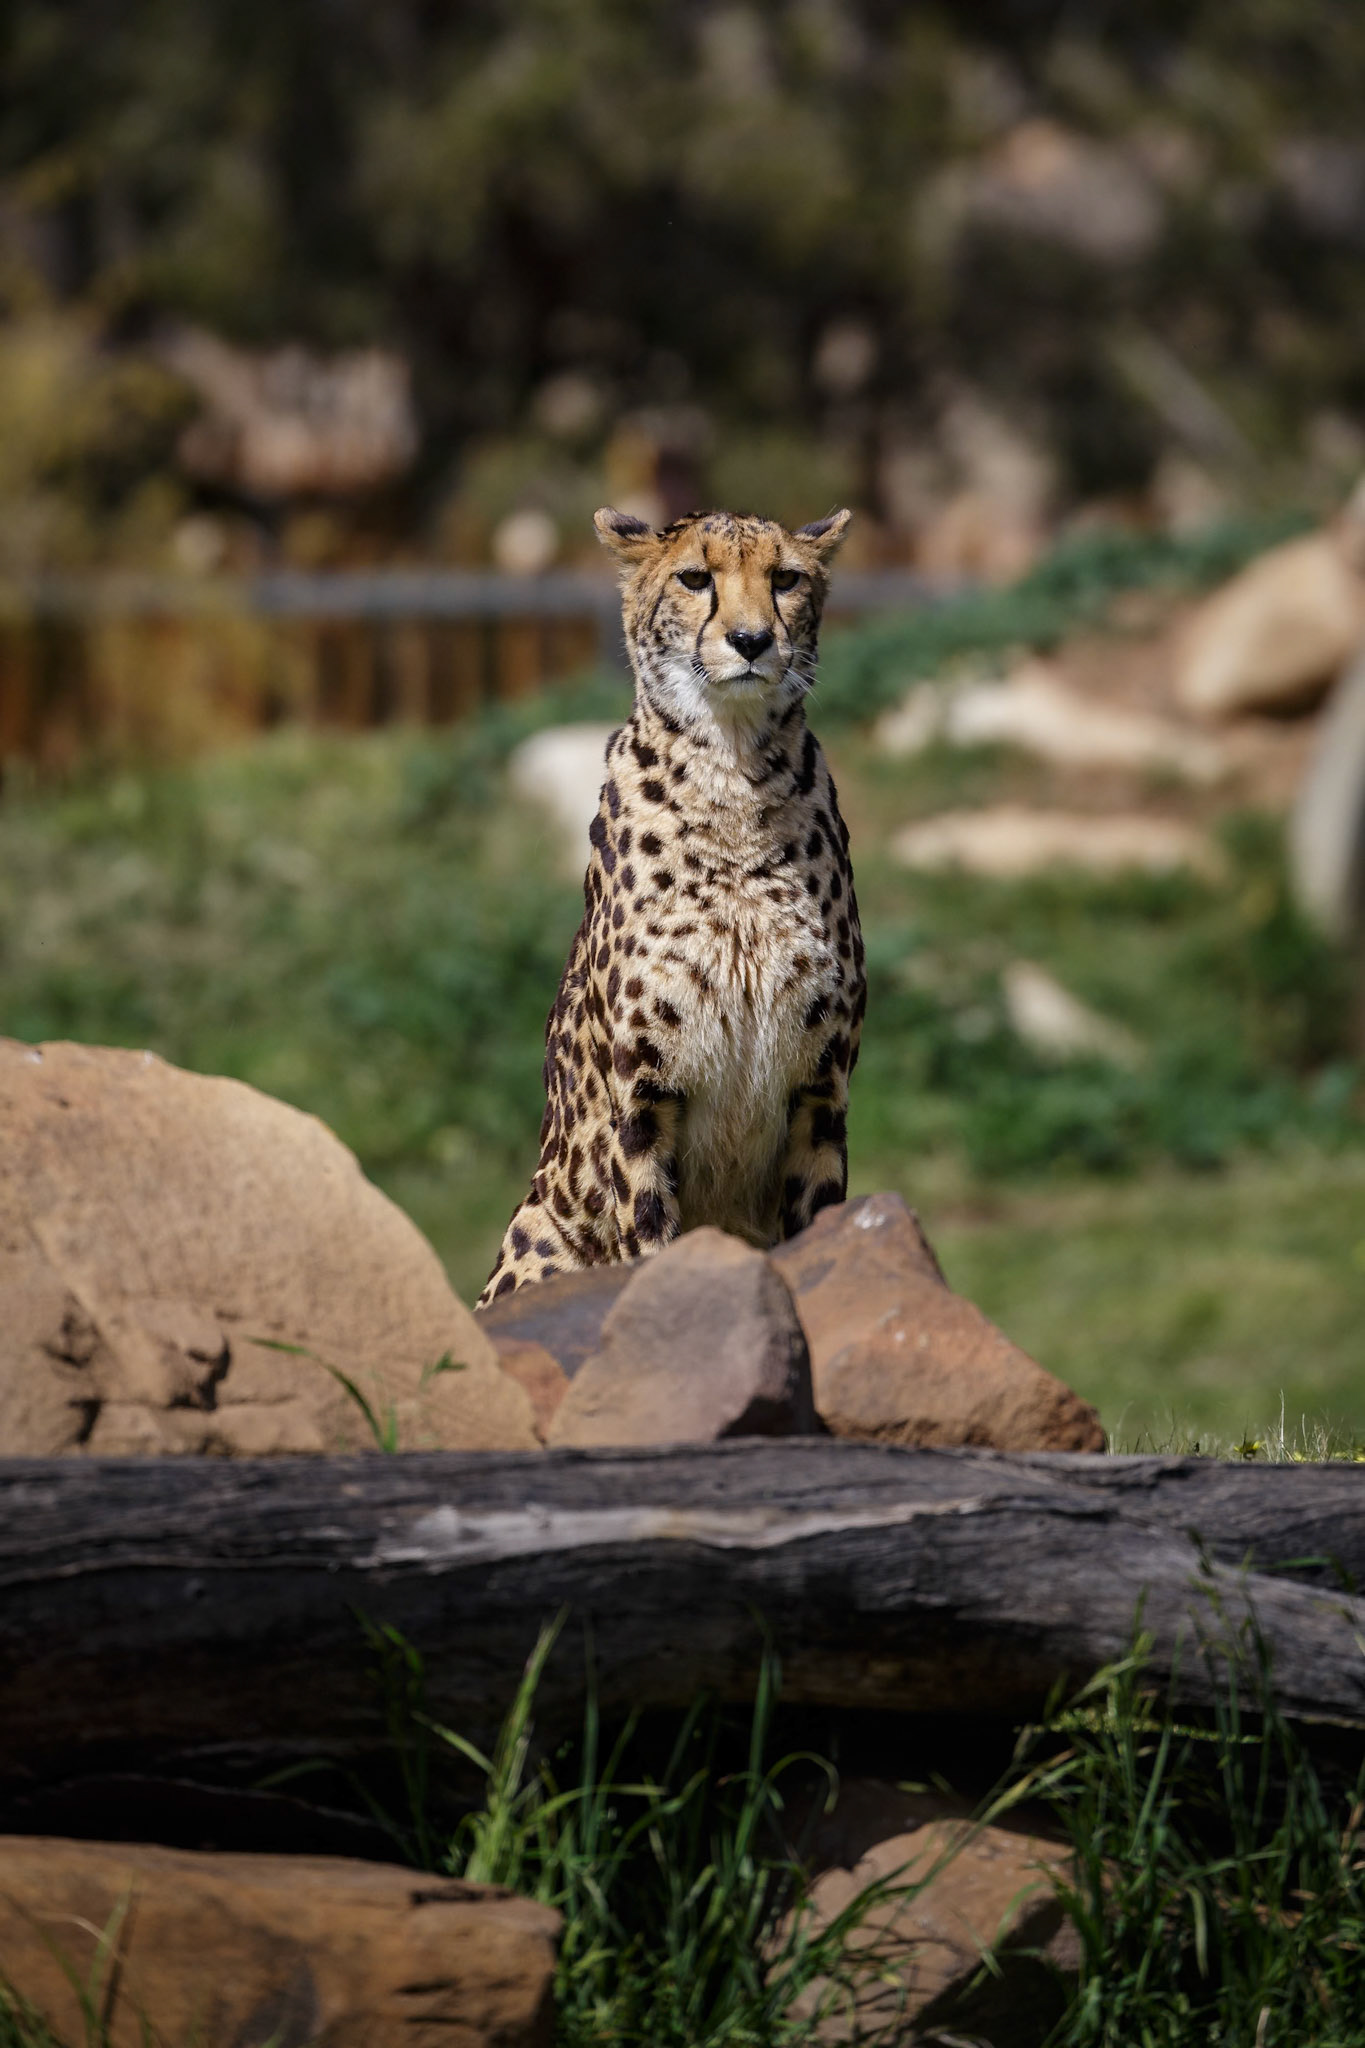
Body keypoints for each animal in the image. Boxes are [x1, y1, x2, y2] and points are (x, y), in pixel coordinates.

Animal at [477, 503, 866, 1307]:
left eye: (786, 579)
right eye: (695, 579)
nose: (750, 641)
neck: (735, 777)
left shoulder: (822, 1088)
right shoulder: (642, 1101)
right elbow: (652, 1241)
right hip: (539, 1233)